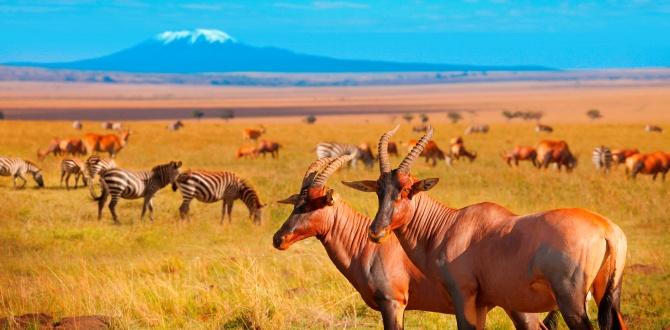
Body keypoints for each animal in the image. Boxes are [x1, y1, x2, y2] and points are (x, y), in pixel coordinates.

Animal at [346, 125, 632, 330]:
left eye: (406, 190)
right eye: (379, 190)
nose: (376, 232)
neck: (450, 225)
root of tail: (607, 230)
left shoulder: (464, 296)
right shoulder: (482, 303)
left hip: (571, 301)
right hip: (608, 295)